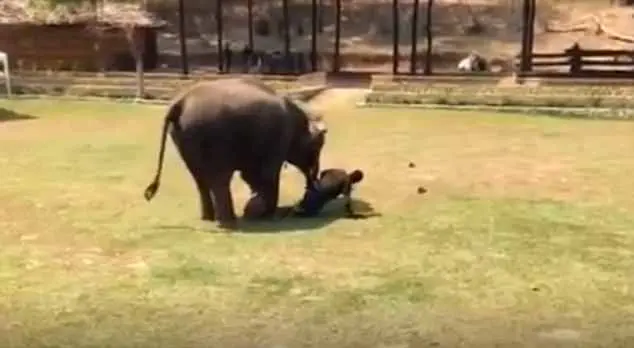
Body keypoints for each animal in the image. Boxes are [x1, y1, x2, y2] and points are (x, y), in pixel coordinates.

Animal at [143, 77, 326, 230]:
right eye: (316, 148)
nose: (313, 185)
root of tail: (180, 102)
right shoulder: (279, 139)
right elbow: (266, 173)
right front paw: (264, 214)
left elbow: (251, 175)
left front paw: (255, 210)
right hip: (213, 136)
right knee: (220, 179)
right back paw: (228, 222)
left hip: (185, 137)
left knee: (200, 180)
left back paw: (209, 218)